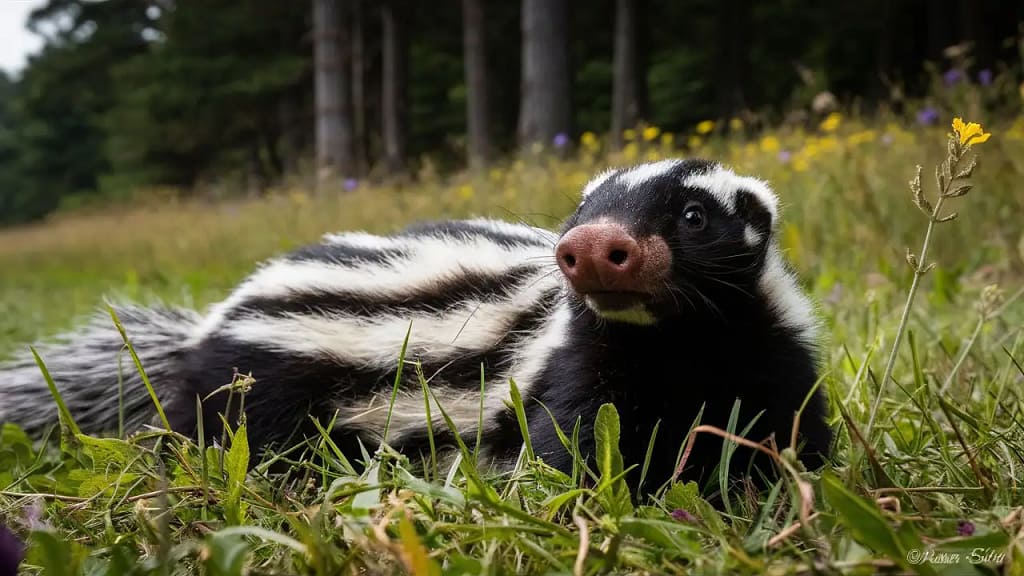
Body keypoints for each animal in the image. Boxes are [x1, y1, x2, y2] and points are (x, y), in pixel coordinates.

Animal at [0, 158, 831, 491]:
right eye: (583, 211)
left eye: (691, 216)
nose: (591, 246)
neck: (679, 343)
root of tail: (207, 325)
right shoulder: (574, 366)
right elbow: (570, 447)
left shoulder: (767, 349)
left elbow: (792, 427)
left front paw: (779, 489)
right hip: (263, 389)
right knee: (240, 437)